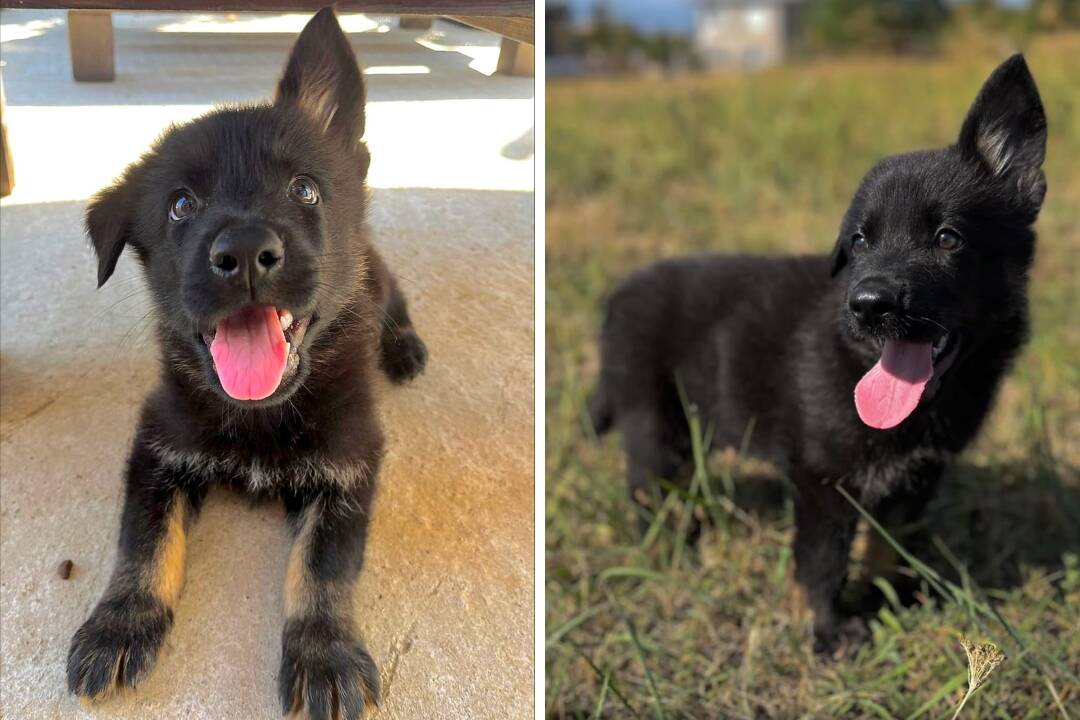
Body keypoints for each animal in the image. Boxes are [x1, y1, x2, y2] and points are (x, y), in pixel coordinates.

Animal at [65, 8, 427, 716]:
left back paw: (403, 347)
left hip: (378, 274)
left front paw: (323, 650)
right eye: (181, 205)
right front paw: (120, 621)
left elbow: (322, 566)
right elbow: (143, 542)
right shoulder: (156, 449)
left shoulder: (351, 466)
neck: (261, 413)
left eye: (304, 189)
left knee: (395, 302)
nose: (245, 253)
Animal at [591, 55, 1045, 651]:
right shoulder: (823, 479)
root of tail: (618, 295)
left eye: (948, 238)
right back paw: (667, 553)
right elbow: (823, 562)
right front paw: (827, 632)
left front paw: (890, 600)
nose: (868, 305)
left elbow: (889, 545)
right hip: (654, 420)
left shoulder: (918, 477)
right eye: (859, 242)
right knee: (652, 491)